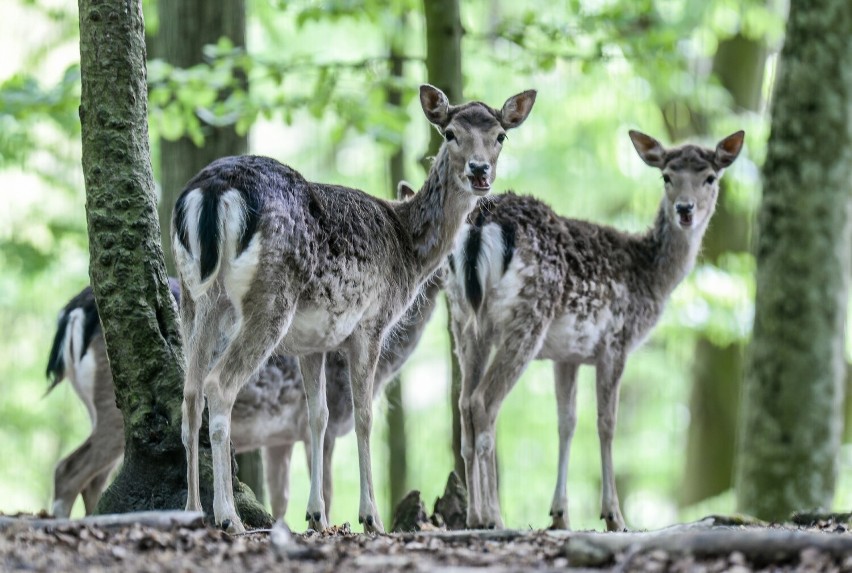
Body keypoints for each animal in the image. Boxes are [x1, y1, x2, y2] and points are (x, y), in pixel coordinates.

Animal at [47, 183, 442, 524]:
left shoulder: (279, 436)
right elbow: (325, 488)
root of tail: (72, 313)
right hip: (110, 409)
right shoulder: (318, 425)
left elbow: (281, 496)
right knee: (69, 470)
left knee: (93, 479)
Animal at [170, 85, 536, 532]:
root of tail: (212, 192)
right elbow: (364, 416)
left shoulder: (310, 343)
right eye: (450, 133)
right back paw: (228, 517)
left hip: (198, 299)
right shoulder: (371, 324)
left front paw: (317, 516)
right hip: (270, 299)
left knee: (189, 394)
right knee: (218, 386)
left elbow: (319, 417)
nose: (479, 171)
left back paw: (191, 508)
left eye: (500, 135)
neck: (406, 247)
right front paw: (370, 516)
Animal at [446, 128, 744, 528]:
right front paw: (614, 515)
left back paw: (475, 515)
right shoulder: (616, 342)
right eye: (667, 176)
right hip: (527, 315)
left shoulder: (567, 355)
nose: (685, 209)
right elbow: (607, 423)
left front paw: (560, 515)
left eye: (710, 177)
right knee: (484, 403)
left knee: (464, 403)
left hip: (463, 319)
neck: (650, 277)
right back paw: (491, 515)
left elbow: (567, 422)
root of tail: (480, 224)